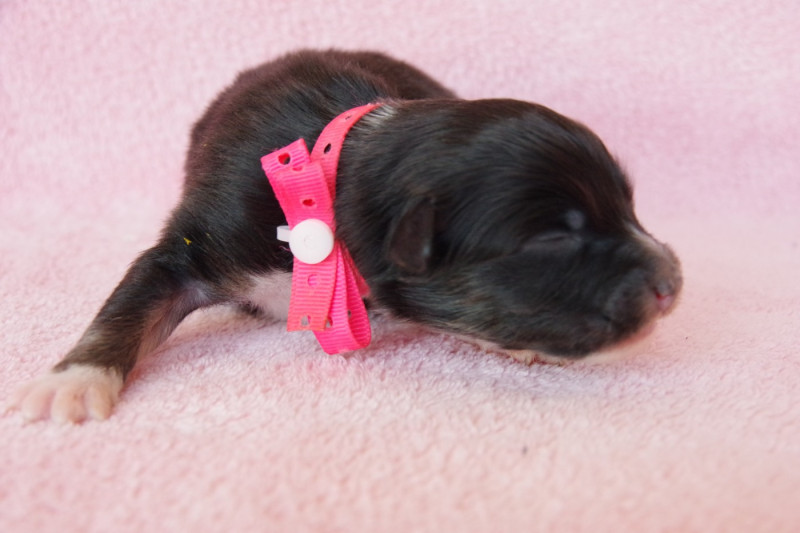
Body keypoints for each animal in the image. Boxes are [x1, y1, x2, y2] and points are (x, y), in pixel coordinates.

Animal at [10, 49, 682, 423]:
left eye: (628, 204)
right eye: (550, 242)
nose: (674, 281)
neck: (327, 184)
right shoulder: (197, 242)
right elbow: (130, 304)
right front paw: (72, 382)